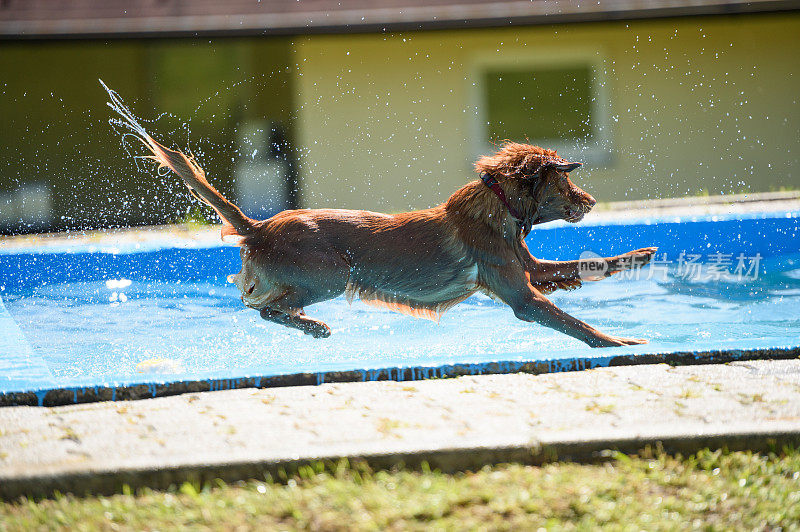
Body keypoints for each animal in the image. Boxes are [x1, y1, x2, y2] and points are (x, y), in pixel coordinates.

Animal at [104, 84, 656, 344]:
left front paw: (641, 255)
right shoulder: (520, 293)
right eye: (566, 181)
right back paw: (315, 327)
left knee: (264, 307)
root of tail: (258, 225)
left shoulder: (530, 269)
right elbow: (576, 324)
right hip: (327, 275)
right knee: (265, 308)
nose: (589, 202)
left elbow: (587, 265)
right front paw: (619, 340)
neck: (496, 209)